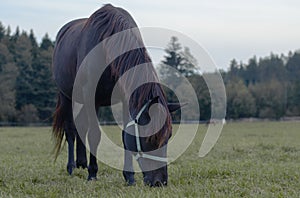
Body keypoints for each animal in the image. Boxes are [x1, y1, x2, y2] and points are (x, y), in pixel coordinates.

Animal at [51, 3, 180, 186]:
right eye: (149, 138)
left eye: (168, 136)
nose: (159, 182)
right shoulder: (91, 96)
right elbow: (94, 135)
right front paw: (93, 173)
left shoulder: (127, 99)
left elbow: (125, 136)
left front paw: (129, 177)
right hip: (67, 96)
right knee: (70, 130)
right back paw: (71, 167)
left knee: (81, 124)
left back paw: (81, 162)